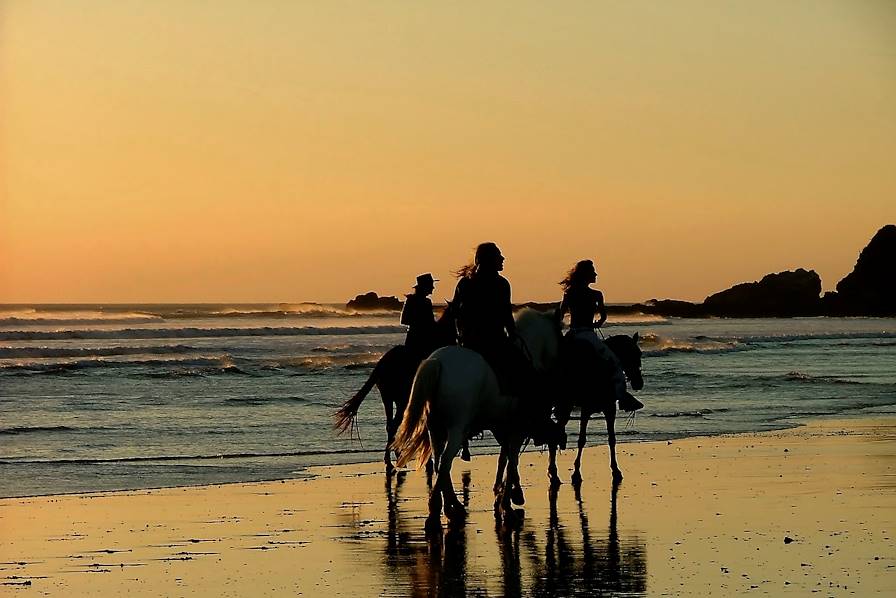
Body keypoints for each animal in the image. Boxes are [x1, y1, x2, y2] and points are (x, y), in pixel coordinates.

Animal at [392, 312, 560, 528]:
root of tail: (437, 362)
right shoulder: (516, 429)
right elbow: (512, 460)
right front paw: (508, 502)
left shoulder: (502, 428)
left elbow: (505, 458)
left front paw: (506, 496)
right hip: (455, 429)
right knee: (445, 462)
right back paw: (438, 510)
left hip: (435, 429)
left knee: (439, 464)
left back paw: (450, 506)